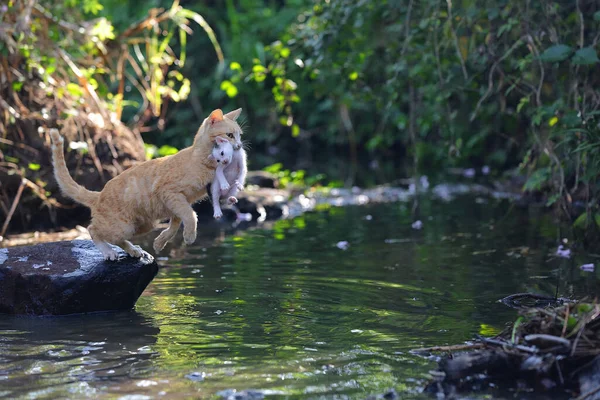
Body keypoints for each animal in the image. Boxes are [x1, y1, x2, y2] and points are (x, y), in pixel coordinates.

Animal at [51, 108, 244, 260]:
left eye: (240, 135)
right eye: (230, 135)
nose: (240, 145)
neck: (200, 158)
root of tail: (99, 195)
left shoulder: (178, 202)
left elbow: (176, 224)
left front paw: (160, 242)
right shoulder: (170, 193)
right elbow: (191, 216)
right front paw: (189, 236)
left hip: (143, 225)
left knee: (116, 238)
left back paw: (134, 250)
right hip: (122, 226)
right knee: (93, 229)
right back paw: (108, 252)